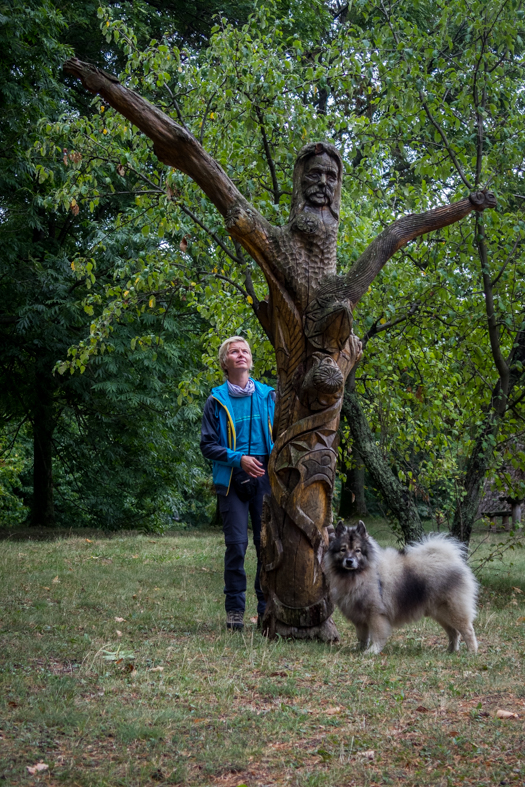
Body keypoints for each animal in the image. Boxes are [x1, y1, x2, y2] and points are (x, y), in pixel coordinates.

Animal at [322, 520, 476, 656]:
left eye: (358, 550)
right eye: (343, 550)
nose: (349, 561)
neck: (358, 575)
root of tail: (453, 560)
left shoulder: (376, 615)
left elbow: (377, 636)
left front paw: (372, 651)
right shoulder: (360, 619)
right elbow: (362, 637)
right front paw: (359, 649)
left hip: (454, 611)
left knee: (467, 630)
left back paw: (472, 652)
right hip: (440, 614)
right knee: (454, 632)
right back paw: (451, 651)